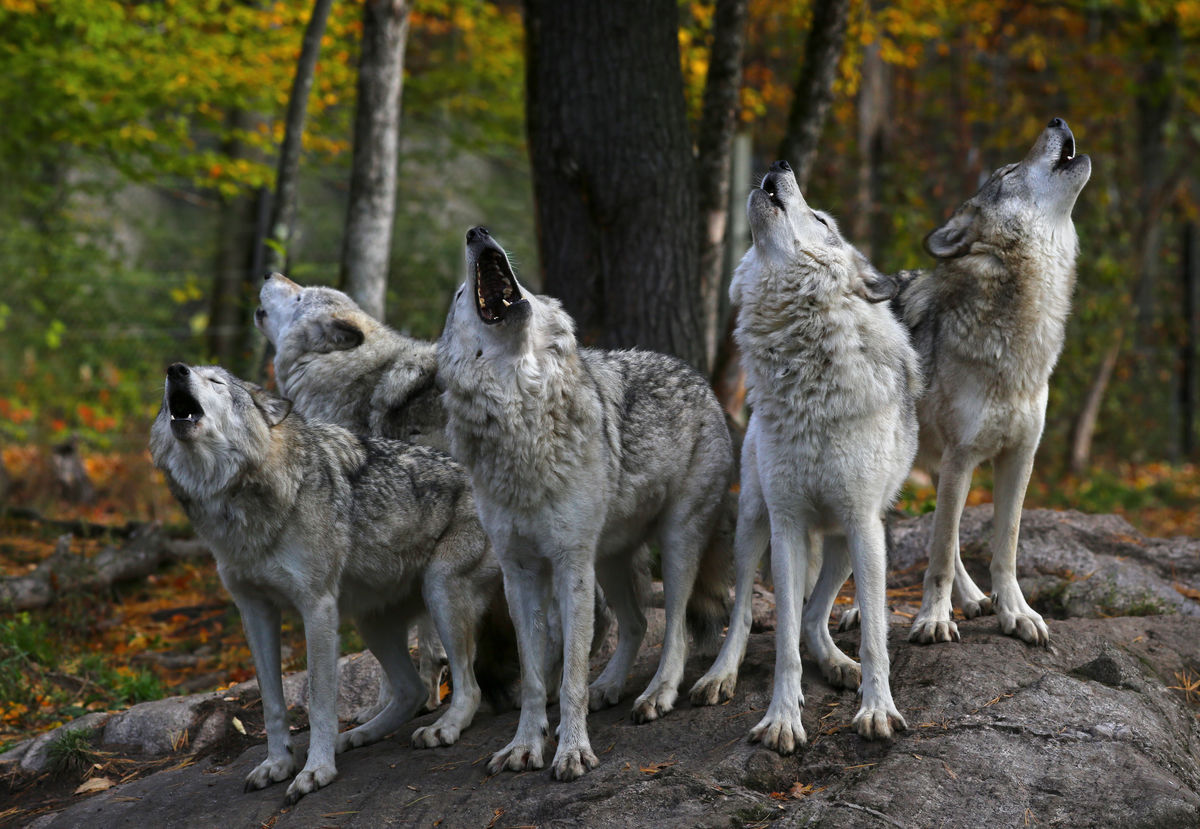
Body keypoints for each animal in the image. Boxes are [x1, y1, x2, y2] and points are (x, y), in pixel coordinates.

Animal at [148, 364, 496, 806]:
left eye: (216, 382)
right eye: (177, 380)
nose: (175, 370)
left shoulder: (316, 608)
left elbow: (318, 703)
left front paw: (316, 771)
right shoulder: (254, 612)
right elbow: (272, 704)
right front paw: (278, 764)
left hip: (440, 591)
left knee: (468, 686)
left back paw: (444, 728)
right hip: (371, 622)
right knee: (412, 689)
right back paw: (360, 735)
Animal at [434, 225, 729, 777]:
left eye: (523, 281)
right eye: (462, 296)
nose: (476, 231)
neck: (522, 413)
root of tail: (695, 373)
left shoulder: (571, 564)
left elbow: (569, 674)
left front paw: (572, 750)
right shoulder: (521, 573)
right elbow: (534, 678)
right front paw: (525, 746)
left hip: (676, 544)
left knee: (675, 629)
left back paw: (656, 695)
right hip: (608, 560)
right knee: (636, 624)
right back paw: (609, 686)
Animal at [686, 161, 916, 753]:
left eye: (821, 219)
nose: (780, 164)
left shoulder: (862, 524)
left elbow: (874, 636)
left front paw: (878, 710)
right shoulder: (787, 524)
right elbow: (783, 638)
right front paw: (782, 719)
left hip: (846, 541)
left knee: (817, 616)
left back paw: (839, 665)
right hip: (753, 523)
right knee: (746, 612)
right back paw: (720, 675)